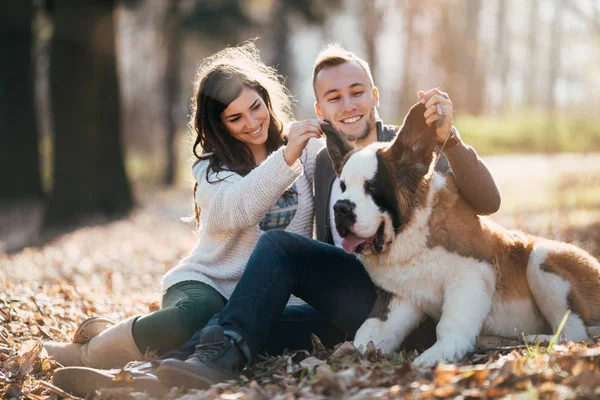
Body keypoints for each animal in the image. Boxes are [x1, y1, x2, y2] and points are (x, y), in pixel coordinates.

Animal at [324, 104, 600, 368]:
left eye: (371, 187)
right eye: (343, 187)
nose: (341, 208)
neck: (412, 229)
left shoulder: (472, 276)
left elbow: (450, 322)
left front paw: (437, 354)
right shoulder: (399, 297)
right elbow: (370, 330)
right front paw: (350, 353)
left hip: (542, 258)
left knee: (575, 333)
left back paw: (533, 339)